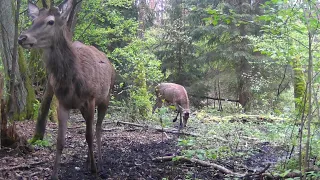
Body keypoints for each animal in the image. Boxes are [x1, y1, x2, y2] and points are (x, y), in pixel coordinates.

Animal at [17, 0, 115, 179]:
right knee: (91, 127)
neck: (72, 80)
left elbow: (89, 135)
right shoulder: (62, 103)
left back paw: (100, 162)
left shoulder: (90, 99)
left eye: (50, 21)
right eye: (33, 20)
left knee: (98, 129)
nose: (22, 38)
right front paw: (54, 174)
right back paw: (88, 161)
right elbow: (60, 141)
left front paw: (95, 170)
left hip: (106, 96)